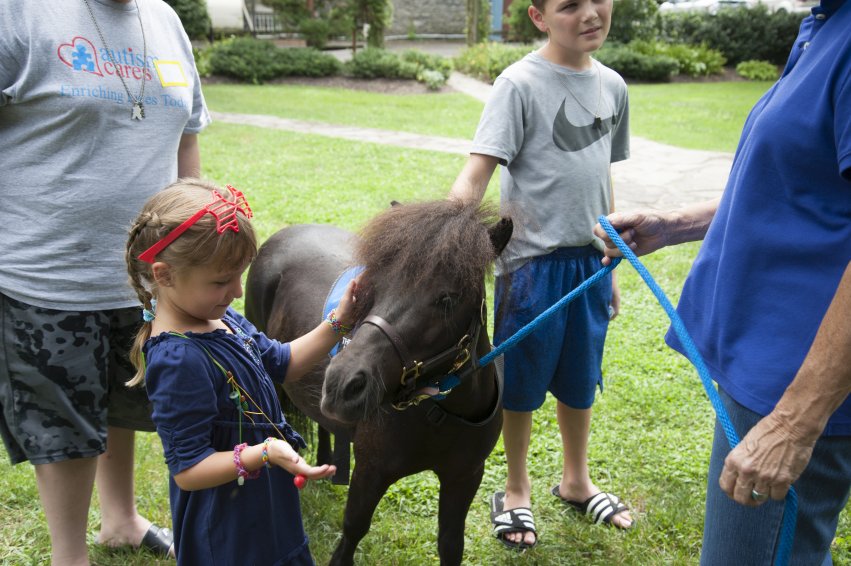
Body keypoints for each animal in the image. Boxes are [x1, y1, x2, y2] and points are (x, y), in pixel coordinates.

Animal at [244, 200, 512, 565]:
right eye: (371, 288)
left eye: (447, 299)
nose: (342, 384)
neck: (441, 414)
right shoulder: (372, 471)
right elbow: (353, 529)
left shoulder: (465, 476)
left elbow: (450, 544)